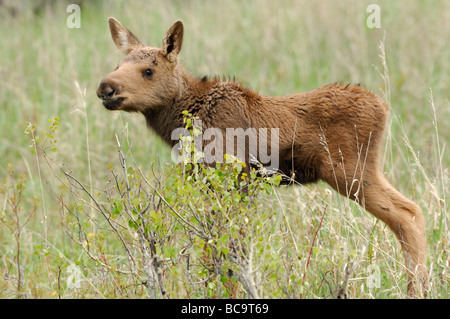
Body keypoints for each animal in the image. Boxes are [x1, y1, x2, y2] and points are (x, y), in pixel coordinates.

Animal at [96, 16, 428, 298]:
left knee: (407, 213)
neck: (184, 120)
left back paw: (418, 288)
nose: (105, 87)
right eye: (118, 63)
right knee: (411, 213)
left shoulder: (234, 179)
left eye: (148, 71)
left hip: (350, 171)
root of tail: (384, 107)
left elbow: (228, 250)